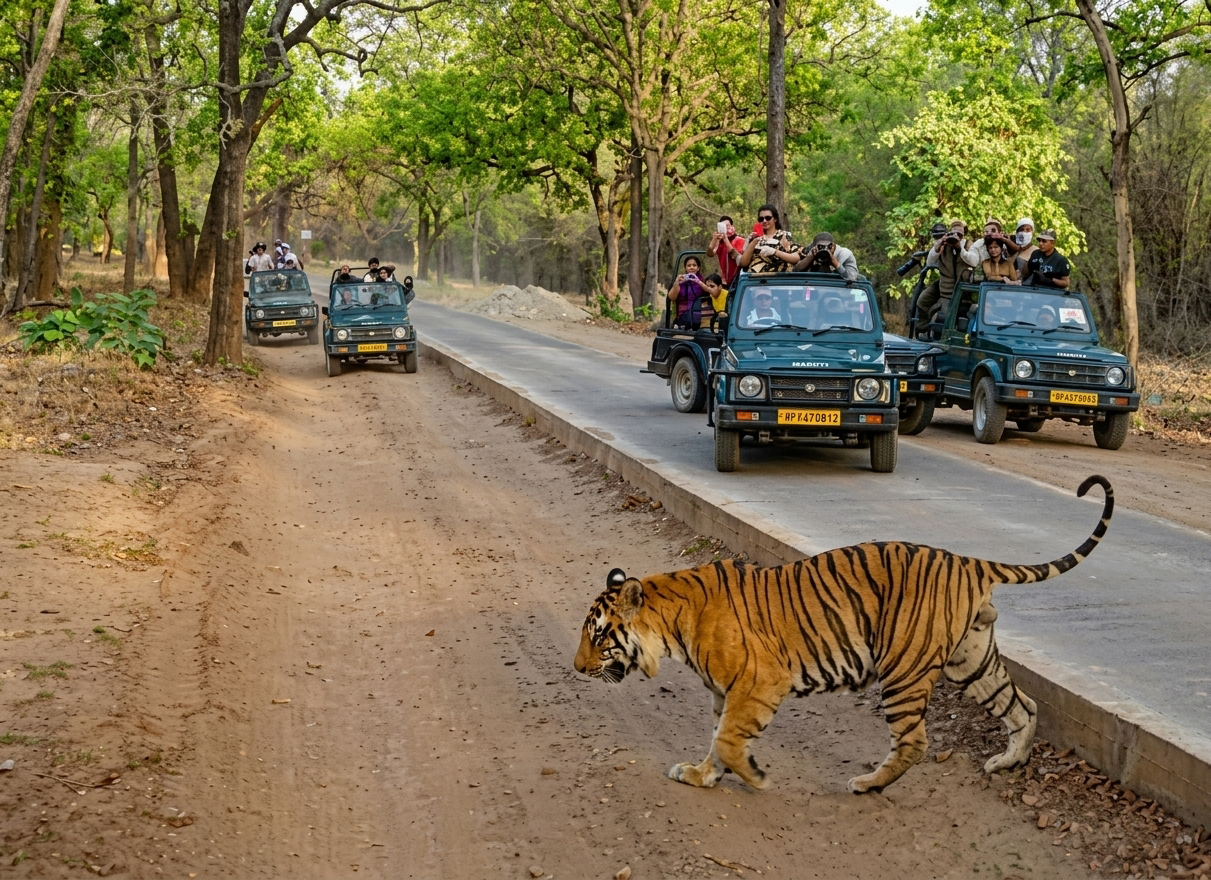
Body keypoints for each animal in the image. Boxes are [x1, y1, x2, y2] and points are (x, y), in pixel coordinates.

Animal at [574, 474, 1113, 794]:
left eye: (599, 637)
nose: (576, 669)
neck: (669, 625)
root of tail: (967, 560)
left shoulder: (759, 682)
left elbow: (727, 740)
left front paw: (755, 777)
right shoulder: (724, 692)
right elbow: (715, 738)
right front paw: (701, 774)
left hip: (903, 669)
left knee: (915, 741)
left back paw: (869, 783)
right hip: (971, 660)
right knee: (1023, 706)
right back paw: (1008, 763)